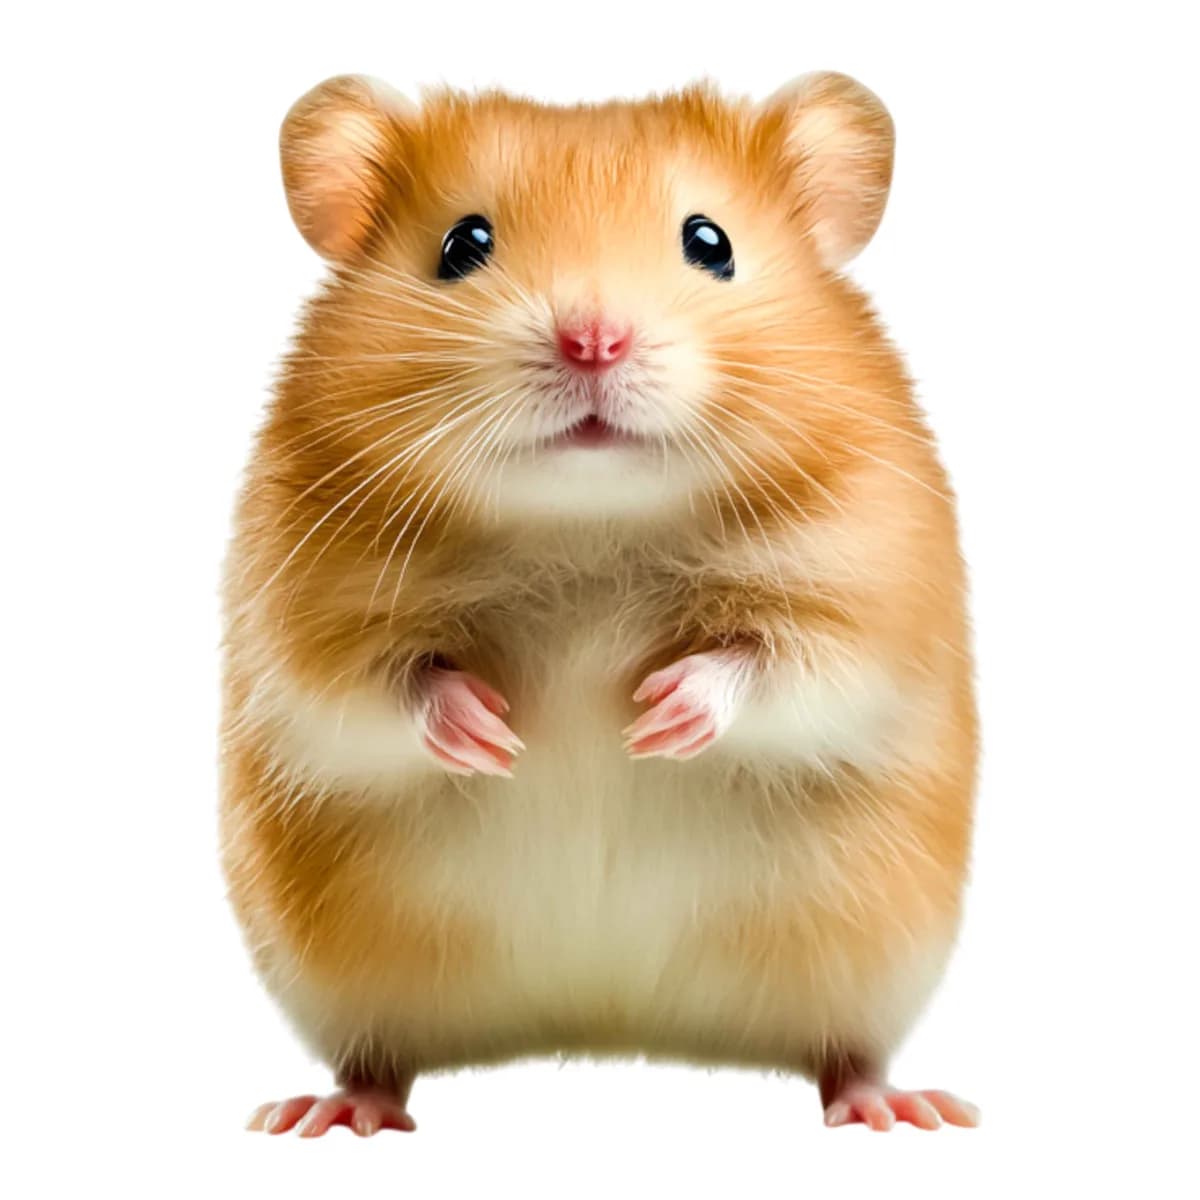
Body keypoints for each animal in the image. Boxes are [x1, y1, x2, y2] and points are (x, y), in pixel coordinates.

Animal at [224, 71, 980, 1136]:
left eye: (711, 241)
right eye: (462, 244)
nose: (593, 341)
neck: (588, 525)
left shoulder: (870, 602)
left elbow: (782, 668)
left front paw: (651, 717)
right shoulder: (299, 623)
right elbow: (372, 691)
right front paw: (496, 731)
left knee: (850, 1053)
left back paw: (898, 1109)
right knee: (376, 1060)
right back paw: (328, 1115)